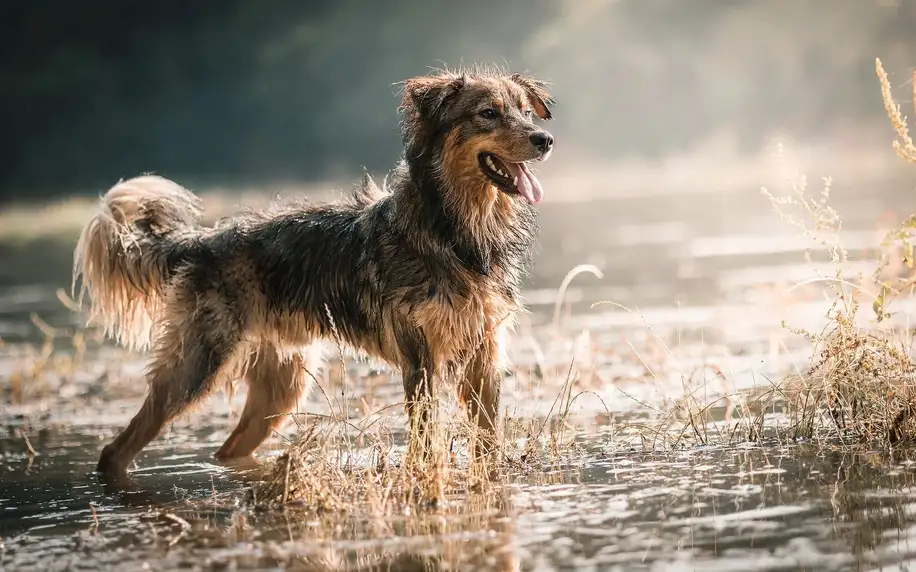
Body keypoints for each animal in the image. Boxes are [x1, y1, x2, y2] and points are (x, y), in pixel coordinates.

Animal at [71, 67, 556, 476]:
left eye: (525, 111)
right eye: (488, 113)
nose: (545, 139)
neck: (458, 231)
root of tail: (203, 241)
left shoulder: (484, 354)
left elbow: (488, 436)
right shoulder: (420, 359)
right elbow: (424, 440)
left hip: (281, 386)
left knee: (229, 449)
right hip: (197, 365)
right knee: (117, 448)